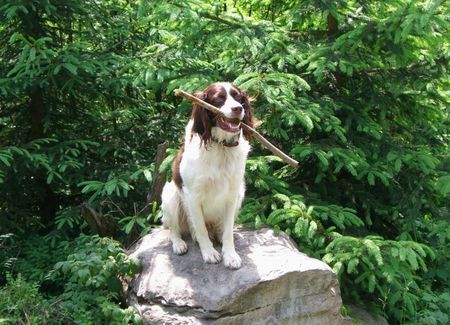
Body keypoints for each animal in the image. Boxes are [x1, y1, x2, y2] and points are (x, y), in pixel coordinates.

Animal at [161, 81, 253, 268]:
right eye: (218, 99)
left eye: (238, 97)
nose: (238, 108)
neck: (221, 146)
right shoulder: (192, 195)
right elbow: (201, 229)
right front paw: (209, 253)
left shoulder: (233, 194)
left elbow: (228, 231)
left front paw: (230, 255)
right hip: (169, 196)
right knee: (175, 229)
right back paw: (179, 244)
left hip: (241, 193)